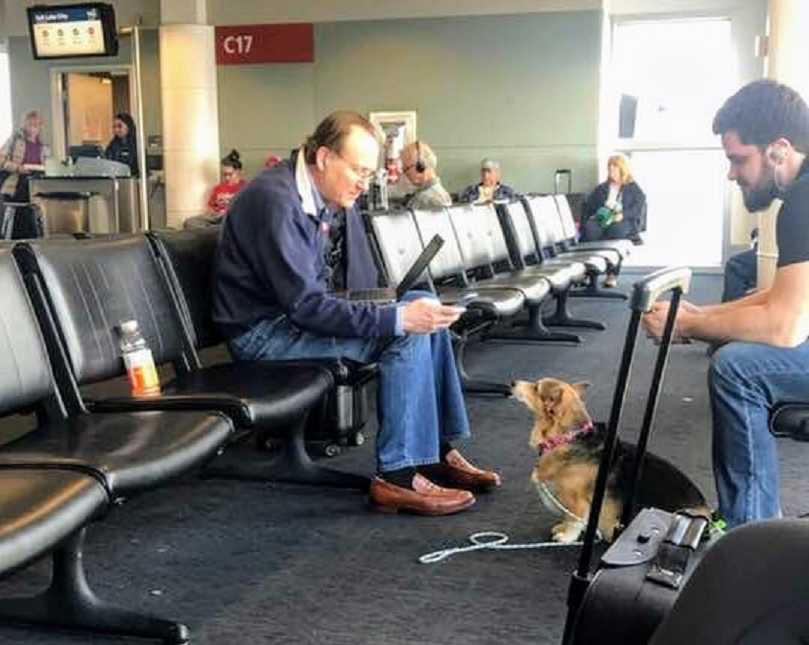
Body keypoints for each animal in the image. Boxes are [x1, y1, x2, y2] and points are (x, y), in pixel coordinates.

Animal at [512, 378, 708, 544]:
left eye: (536, 387)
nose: (511, 383)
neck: (567, 437)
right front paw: (561, 528)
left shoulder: (576, 500)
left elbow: (574, 520)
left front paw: (566, 537)